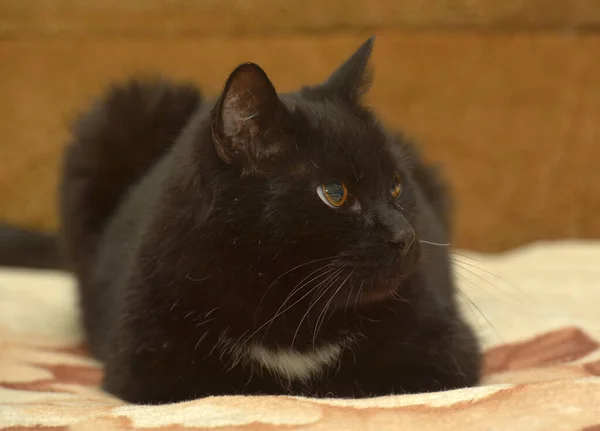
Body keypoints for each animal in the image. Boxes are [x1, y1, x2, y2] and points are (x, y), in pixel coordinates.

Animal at [59, 37, 482, 404]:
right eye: (335, 193)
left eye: (395, 186)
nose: (405, 236)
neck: (290, 305)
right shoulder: (146, 365)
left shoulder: (447, 350)